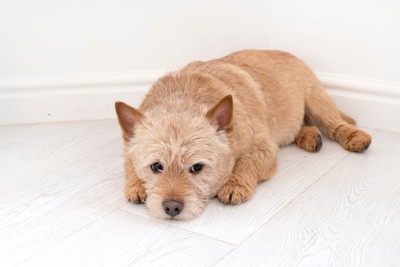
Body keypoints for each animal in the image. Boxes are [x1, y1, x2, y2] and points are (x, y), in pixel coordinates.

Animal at [115, 49, 372, 220]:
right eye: (156, 166)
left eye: (197, 167)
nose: (171, 207)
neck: (182, 99)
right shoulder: (128, 149)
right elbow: (130, 164)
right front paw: (136, 185)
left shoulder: (264, 148)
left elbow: (247, 162)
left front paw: (235, 183)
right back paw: (309, 136)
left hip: (316, 98)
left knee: (334, 122)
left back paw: (354, 137)